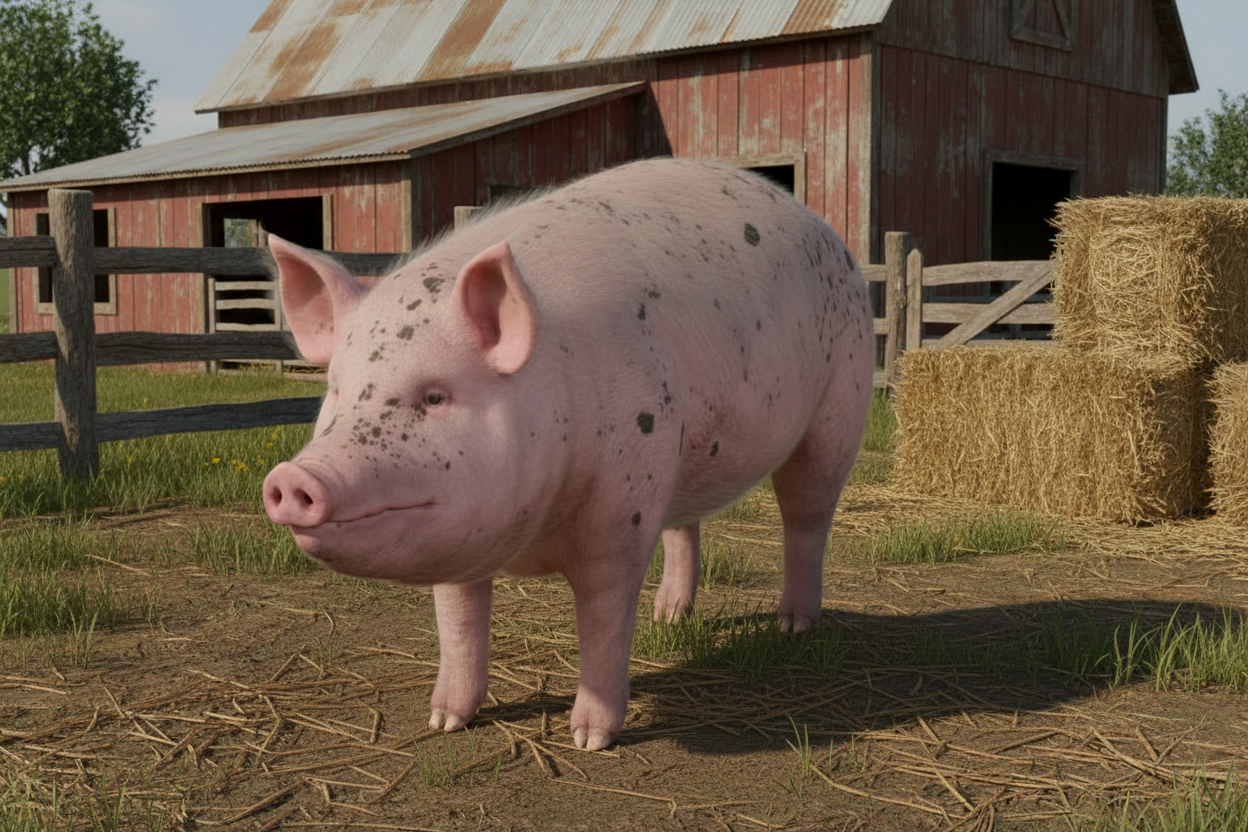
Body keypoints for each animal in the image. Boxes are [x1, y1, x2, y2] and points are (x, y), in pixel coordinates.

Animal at [262, 157, 873, 751]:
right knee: (685, 524)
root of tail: (825, 231)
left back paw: (793, 625)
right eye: (337, 389)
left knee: (806, 516)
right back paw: (670, 618)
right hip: (682, 452)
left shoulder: (622, 510)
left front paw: (590, 739)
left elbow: (603, 615)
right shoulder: (459, 531)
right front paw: (443, 721)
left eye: (435, 396)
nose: (295, 478)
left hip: (838, 407)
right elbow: (458, 617)